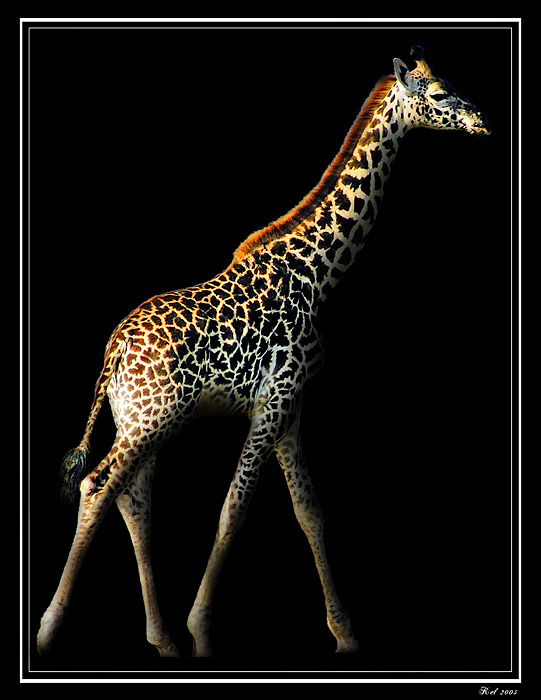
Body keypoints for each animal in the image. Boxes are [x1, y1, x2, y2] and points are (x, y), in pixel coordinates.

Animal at [36, 46, 490, 659]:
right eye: (438, 93)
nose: (482, 120)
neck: (319, 274)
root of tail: (112, 353)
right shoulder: (273, 400)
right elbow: (235, 506)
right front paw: (203, 630)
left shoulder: (293, 406)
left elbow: (310, 511)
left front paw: (346, 634)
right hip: (153, 419)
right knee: (98, 486)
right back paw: (51, 631)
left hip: (141, 420)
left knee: (132, 496)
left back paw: (161, 638)